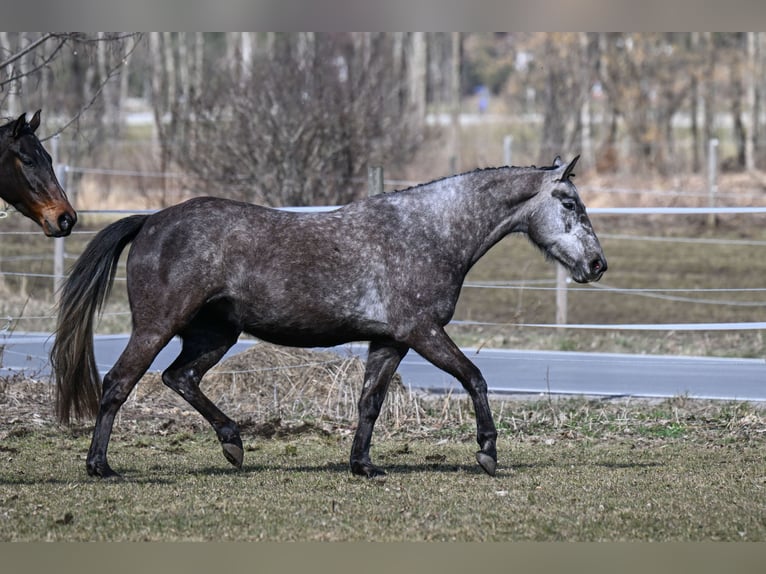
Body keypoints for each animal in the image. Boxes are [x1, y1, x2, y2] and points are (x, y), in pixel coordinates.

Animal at [51, 155, 607, 479]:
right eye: (569, 202)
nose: (598, 265)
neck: (428, 233)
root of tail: (151, 221)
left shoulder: (391, 341)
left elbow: (370, 403)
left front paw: (363, 466)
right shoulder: (423, 332)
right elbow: (475, 378)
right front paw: (488, 453)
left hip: (215, 334)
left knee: (179, 377)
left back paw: (234, 445)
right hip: (156, 327)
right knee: (119, 384)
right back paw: (100, 466)